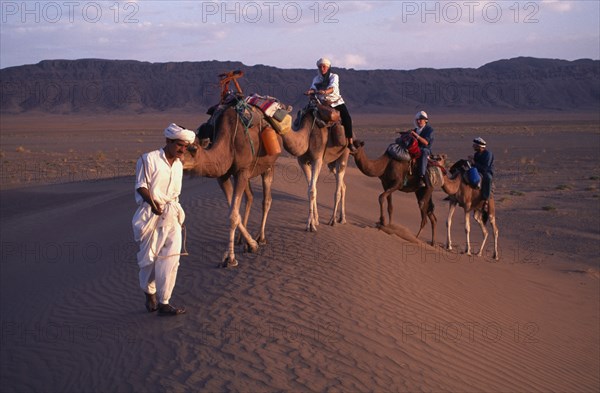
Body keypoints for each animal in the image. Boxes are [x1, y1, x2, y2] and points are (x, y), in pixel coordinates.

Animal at [182, 102, 280, 268]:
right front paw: (247, 245)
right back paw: (242, 240)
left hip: (268, 165)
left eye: (194, 149)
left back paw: (261, 238)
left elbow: (233, 215)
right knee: (250, 197)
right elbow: (234, 212)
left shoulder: (241, 171)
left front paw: (231, 258)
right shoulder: (224, 176)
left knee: (266, 200)